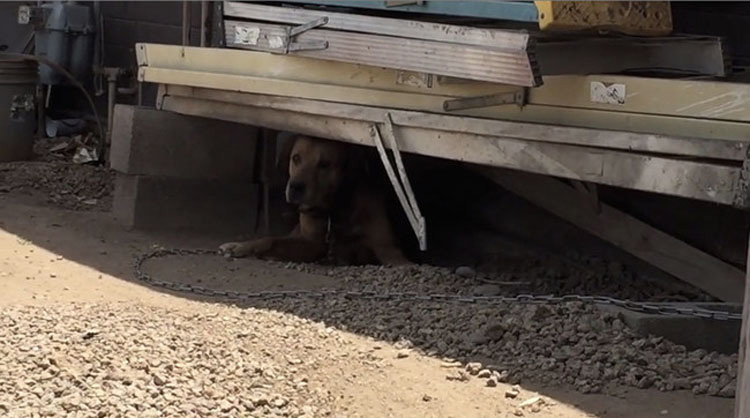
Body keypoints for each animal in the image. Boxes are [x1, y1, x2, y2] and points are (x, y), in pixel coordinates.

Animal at [219, 135, 412, 264]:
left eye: (325, 164)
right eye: (296, 158)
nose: (295, 186)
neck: (335, 209)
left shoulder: (387, 248)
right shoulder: (311, 242)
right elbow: (272, 240)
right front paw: (243, 247)